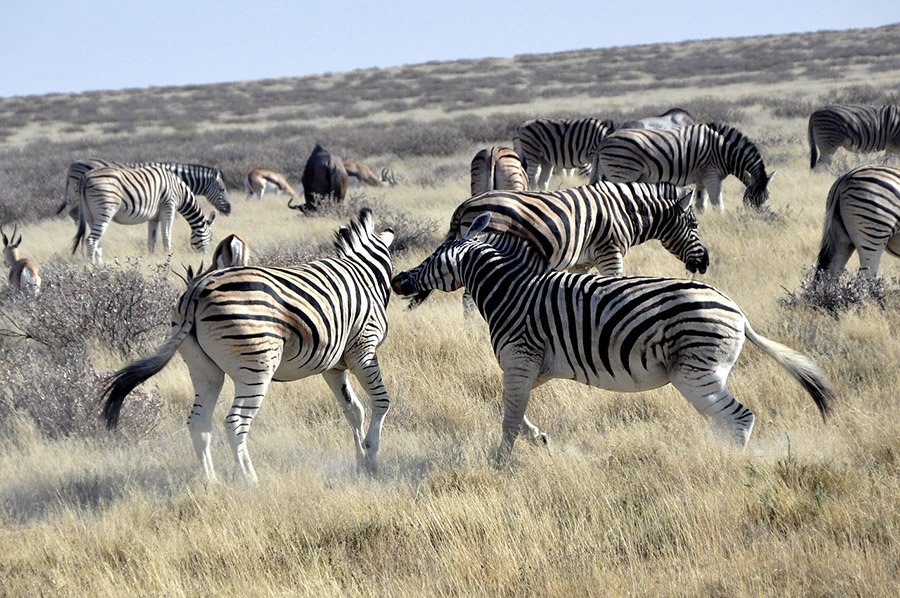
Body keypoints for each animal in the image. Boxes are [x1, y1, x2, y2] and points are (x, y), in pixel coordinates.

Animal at [57, 159, 232, 223]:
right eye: (222, 189)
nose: (229, 210)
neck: (177, 177)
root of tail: (73, 164)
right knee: (75, 213)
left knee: (74, 213)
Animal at [72, 166, 216, 264]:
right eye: (210, 238)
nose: (205, 258)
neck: (179, 191)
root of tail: (85, 177)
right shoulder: (168, 208)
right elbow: (166, 237)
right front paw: (168, 257)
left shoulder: (154, 218)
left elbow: (151, 241)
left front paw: (151, 259)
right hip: (105, 211)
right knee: (91, 241)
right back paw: (91, 268)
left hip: (90, 215)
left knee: (97, 242)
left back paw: (100, 266)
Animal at [102, 210, 394, 482]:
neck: (363, 273)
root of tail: (196, 291)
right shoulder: (363, 350)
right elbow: (381, 401)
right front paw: (372, 457)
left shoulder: (333, 365)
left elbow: (353, 410)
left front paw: (362, 462)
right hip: (256, 367)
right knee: (235, 422)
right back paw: (250, 479)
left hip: (203, 369)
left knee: (198, 422)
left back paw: (211, 480)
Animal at [394, 216, 836, 464]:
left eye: (431, 260)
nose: (398, 280)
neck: (507, 291)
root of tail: (738, 313)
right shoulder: (531, 368)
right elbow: (512, 412)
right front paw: (539, 440)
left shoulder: (519, 359)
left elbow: (508, 418)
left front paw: (499, 463)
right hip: (707, 374)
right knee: (725, 420)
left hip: (694, 373)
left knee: (739, 419)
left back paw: (730, 464)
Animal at [592, 122, 772, 213]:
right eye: (750, 198)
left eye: (766, 198)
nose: (759, 219)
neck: (724, 150)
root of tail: (603, 141)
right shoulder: (711, 174)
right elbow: (718, 204)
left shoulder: (701, 177)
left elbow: (701, 205)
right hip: (622, 173)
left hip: (610, 173)